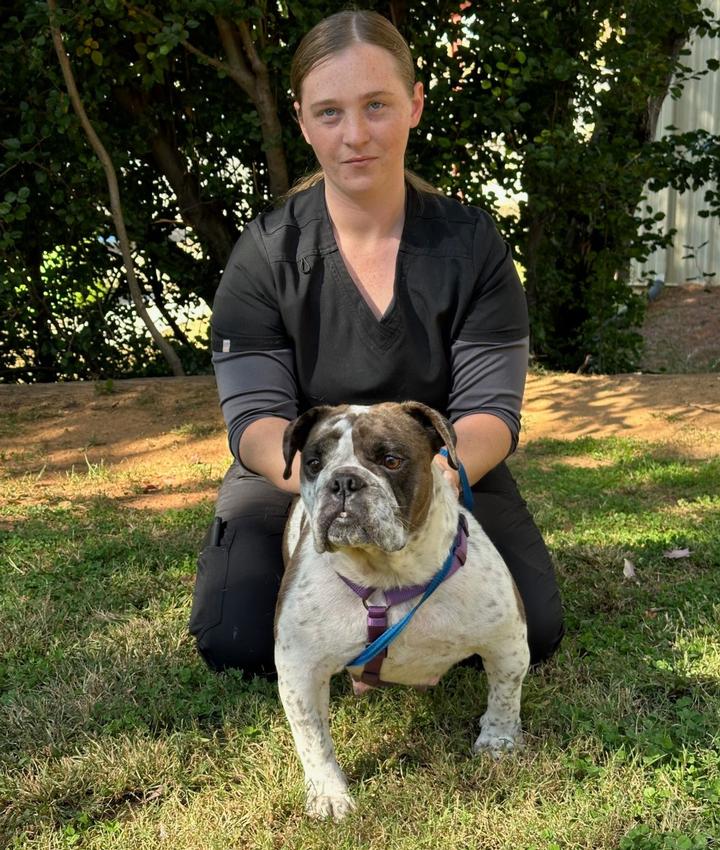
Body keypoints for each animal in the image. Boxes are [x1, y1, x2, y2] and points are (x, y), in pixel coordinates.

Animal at [274, 400, 528, 820]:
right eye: (313, 463)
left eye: (391, 460)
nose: (342, 481)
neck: (387, 577)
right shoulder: (299, 669)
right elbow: (313, 737)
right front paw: (329, 793)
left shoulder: (506, 639)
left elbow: (505, 695)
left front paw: (498, 741)